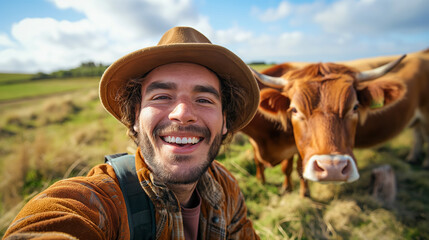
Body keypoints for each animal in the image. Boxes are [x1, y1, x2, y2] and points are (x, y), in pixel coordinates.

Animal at [241, 48, 428, 197]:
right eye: (294, 109)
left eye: (355, 107)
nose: (333, 169)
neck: (265, 140)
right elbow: (258, 161)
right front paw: (262, 180)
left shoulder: (298, 148)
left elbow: (293, 168)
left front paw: (302, 192)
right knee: (418, 132)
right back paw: (413, 158)